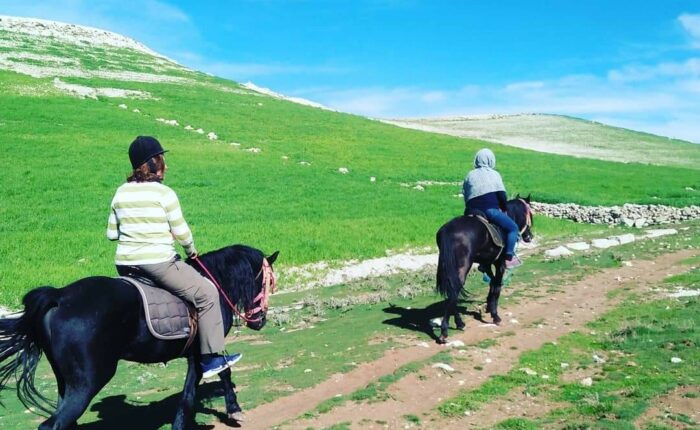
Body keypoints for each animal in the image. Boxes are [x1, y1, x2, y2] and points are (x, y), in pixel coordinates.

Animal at [0, 244, 279, 430]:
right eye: (267, 282)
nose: (260, 321)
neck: (214, 282)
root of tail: (59, 296)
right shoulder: (203, 350)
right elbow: (207, 382)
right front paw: (234, 410)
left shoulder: (196, 353)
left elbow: (204, 384)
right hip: (88, 382)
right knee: (53, 425)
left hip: (65, 382)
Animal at [435, 194, 533, 344]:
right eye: (531, 214)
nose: (529, 236)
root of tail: (448, 230)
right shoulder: (500, 263)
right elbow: (497, 286)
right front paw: (495, 315)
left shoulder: (485, 264)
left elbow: (492, 282)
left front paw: (488, 305)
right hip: (462, 267)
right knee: (454, 291)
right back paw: (445, 331)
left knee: (452, 292)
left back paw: (459, 323)